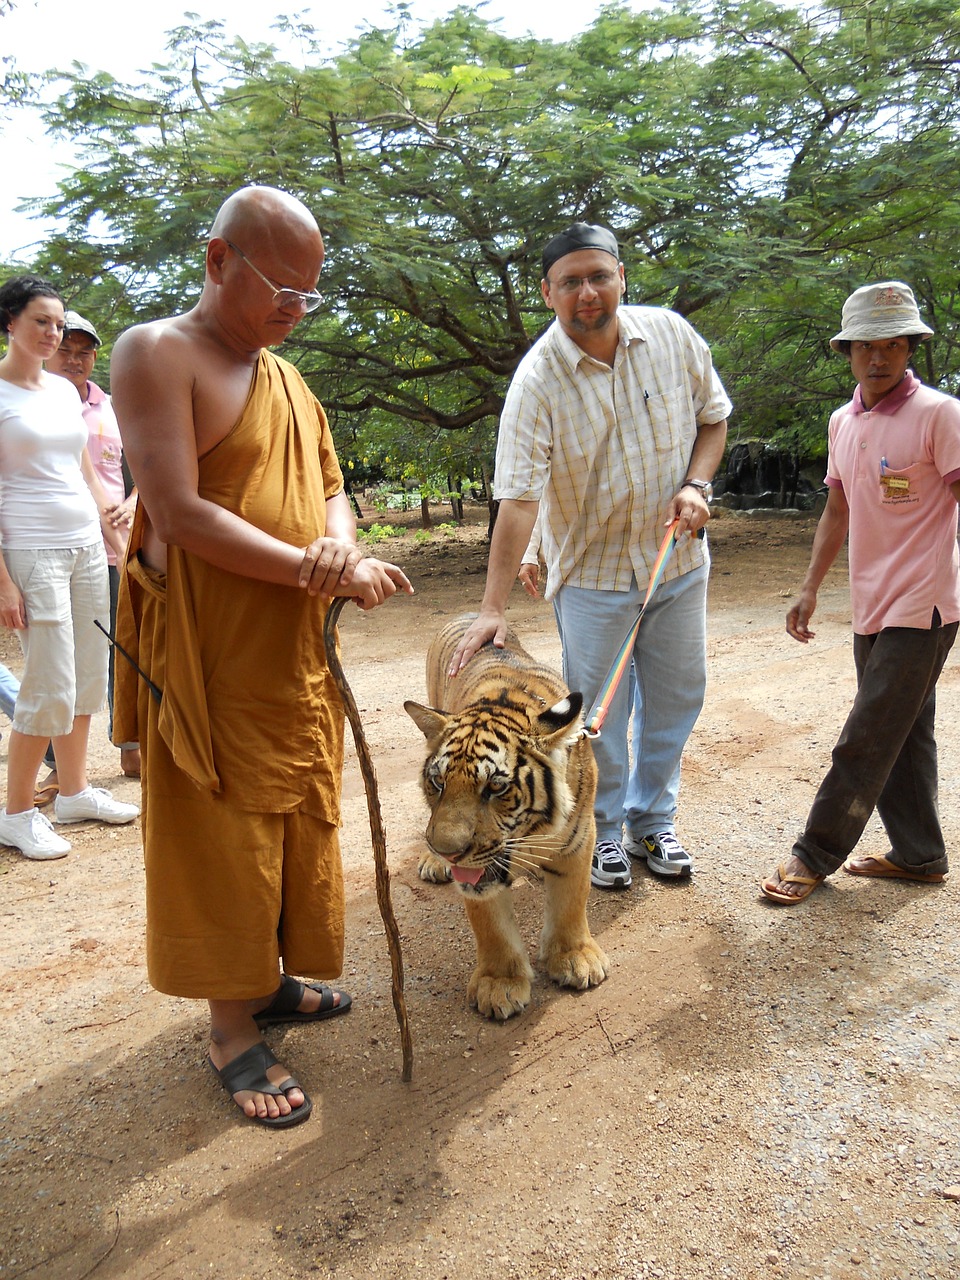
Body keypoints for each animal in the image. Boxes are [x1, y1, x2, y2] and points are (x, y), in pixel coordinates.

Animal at [404, 614, 609, 1024]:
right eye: (438, 782)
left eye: (495, 788)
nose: (448, 852)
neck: (529, 834)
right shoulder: (476, 873)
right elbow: (492, 927)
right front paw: (498, 985)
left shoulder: (579, 839)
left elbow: (572, 902)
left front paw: (575, 958)